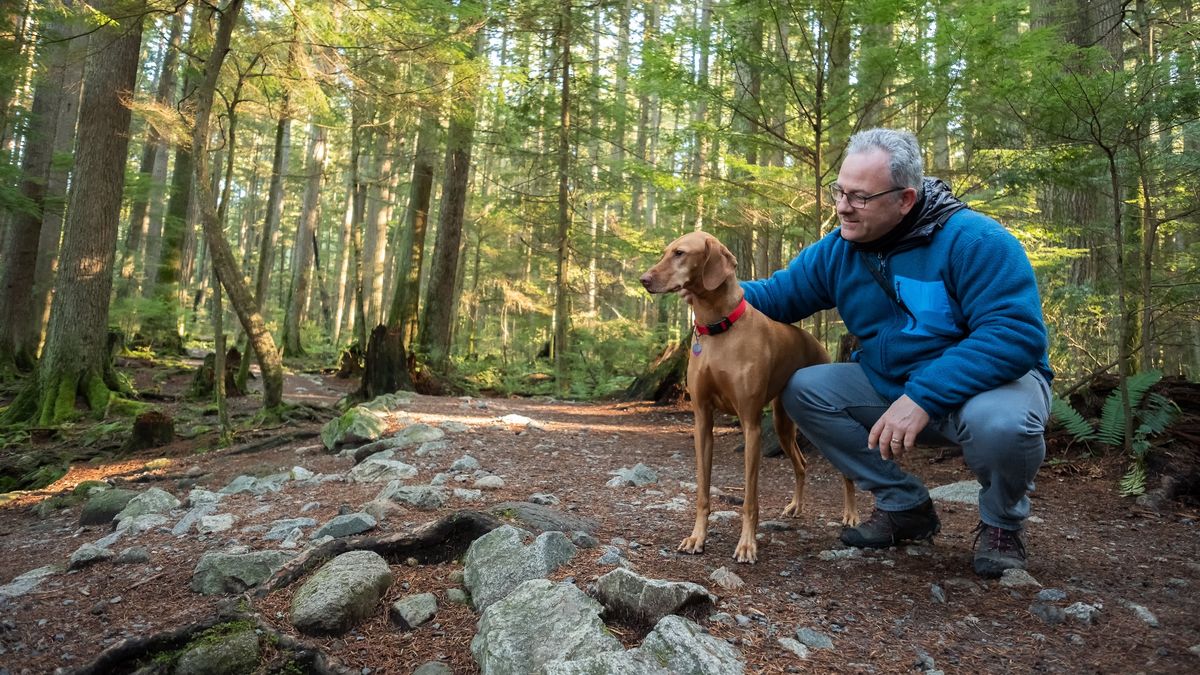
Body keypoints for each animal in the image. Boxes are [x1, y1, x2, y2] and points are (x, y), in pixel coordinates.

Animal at [643, 230, 859, 562]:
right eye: (666, 251)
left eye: (680, 253)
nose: (644, 279)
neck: (719, 329)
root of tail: (816, 343)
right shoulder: (702, 422)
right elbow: (703, 492)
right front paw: (697, 537)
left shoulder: (751, 426)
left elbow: (749, 499)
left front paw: (747, 544)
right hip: (783, 424)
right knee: (801, 464)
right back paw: (796, 506)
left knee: (845, 472)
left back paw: (851, 514)